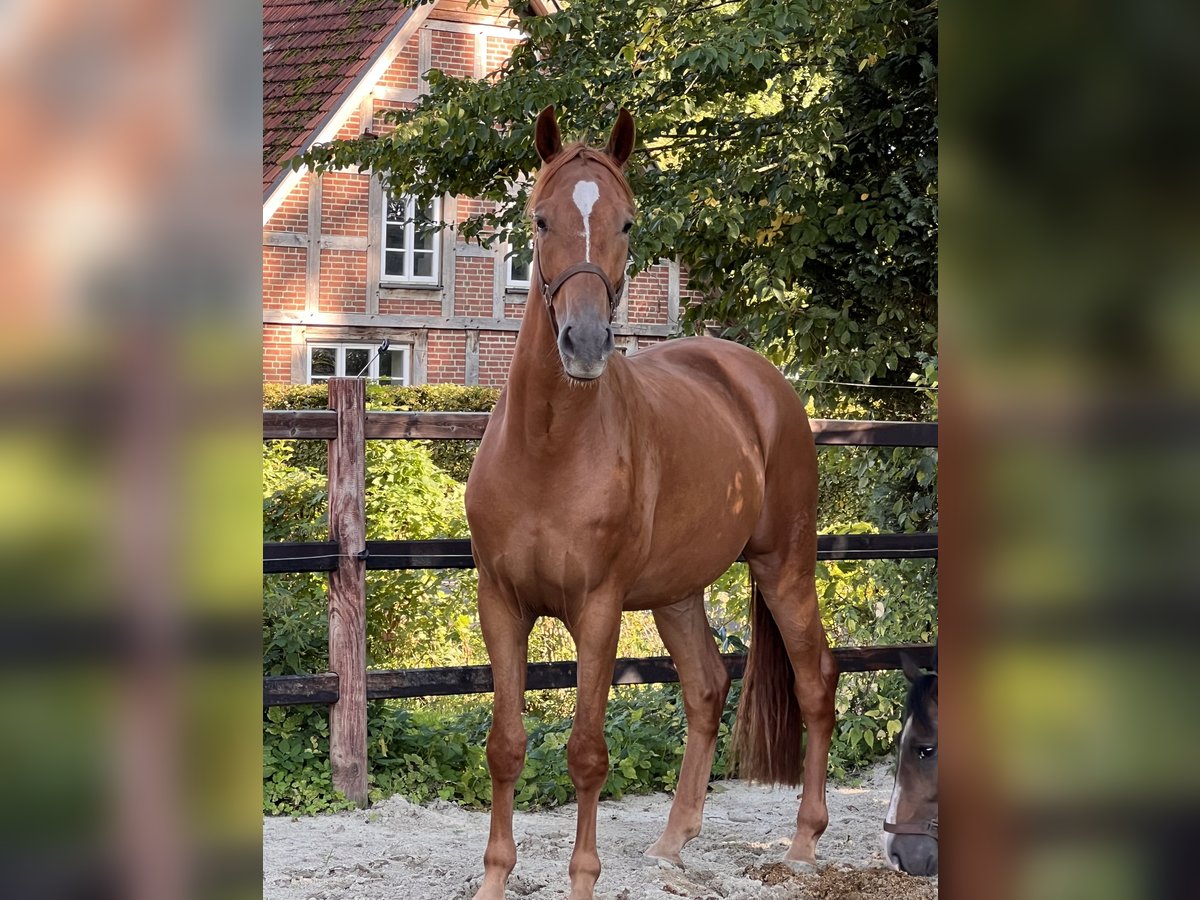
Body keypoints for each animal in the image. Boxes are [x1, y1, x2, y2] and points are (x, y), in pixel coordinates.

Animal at [463, 109, 840, 900]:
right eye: (540, 219)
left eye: (628, 222)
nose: (584, 343)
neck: (548, 447)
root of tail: (760, 379)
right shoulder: (501, 604)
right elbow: (506, 745)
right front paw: (493, 880)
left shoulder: (599, 610)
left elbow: (586, 752)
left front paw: (582, 881)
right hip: (677, 591)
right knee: (706, 687)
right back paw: (673, 842)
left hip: (784, 565)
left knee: (816, 683)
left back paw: (802, 843)